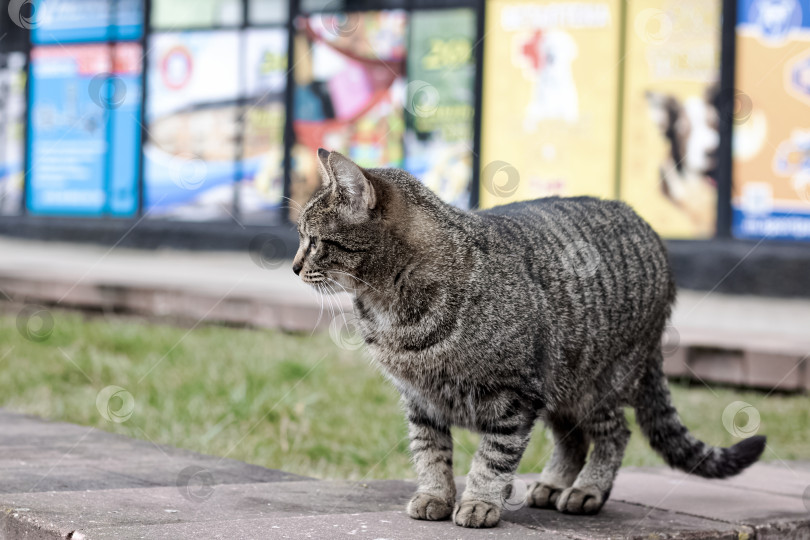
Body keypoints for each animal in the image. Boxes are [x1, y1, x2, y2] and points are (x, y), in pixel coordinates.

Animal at [292, 150, 764, 528]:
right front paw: (434, 496)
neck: (392, 310)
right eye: (300, 238)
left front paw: (480, 503)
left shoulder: (514, 396)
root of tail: (648, 227)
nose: (294, 266)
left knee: (615, 434)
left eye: (313, 241)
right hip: (562, 387)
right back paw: (552, 484)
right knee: (573, 439)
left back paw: (587, 490)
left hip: (596, 383)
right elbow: (430, 453)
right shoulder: (420, 400)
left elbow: (492, 459)